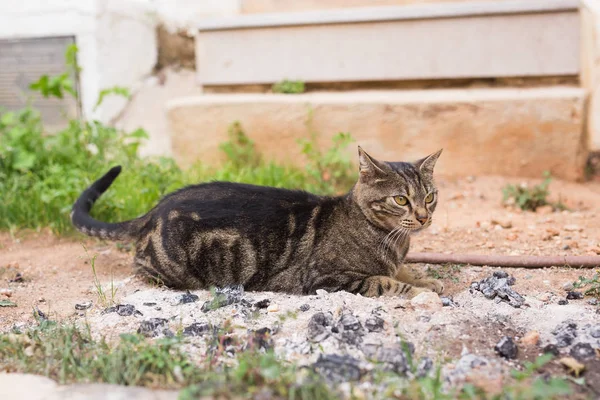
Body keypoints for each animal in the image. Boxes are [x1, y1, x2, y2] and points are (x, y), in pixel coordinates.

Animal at [72, 147, 442, 296]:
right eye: (401, 200)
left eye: (429, 197)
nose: (423, 217)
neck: (393, 240)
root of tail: (155, 208)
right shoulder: (330, 278)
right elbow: (387, 282)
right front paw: (421, 291)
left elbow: (402, 272)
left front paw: (426, 280)